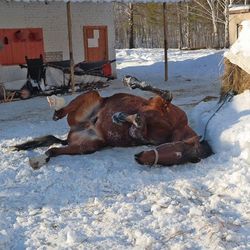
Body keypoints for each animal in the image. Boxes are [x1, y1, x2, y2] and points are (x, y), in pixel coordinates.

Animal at [13, 75, 212, 170]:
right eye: (174, 150)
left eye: (175, 158)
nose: (139, 158)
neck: (174, 126)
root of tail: (77, 129)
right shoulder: (158, 103)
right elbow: (165, 94)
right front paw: (131, 82)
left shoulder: (143, 136)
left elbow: (137, 129)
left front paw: (123, 117)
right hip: (92, 95)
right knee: (59, 114)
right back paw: (55, 101)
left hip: (88, 146)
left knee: (53, 150)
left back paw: (38, 161)